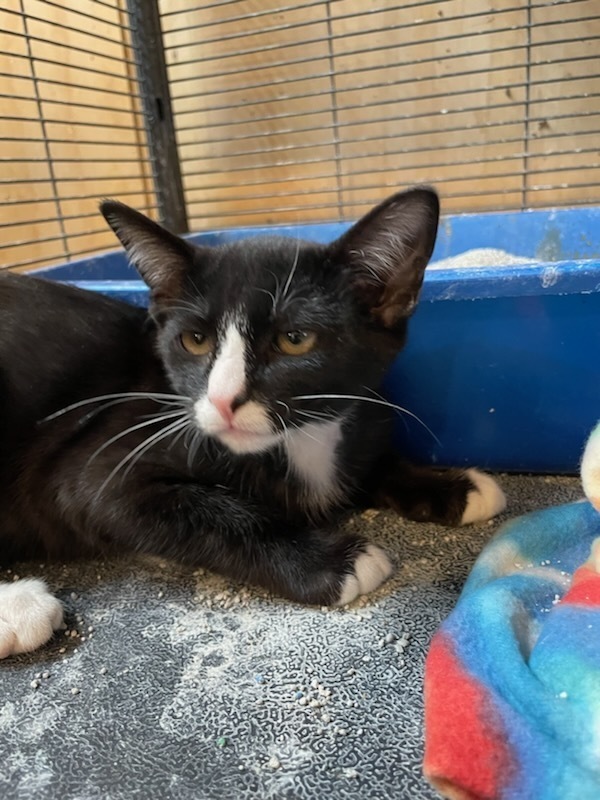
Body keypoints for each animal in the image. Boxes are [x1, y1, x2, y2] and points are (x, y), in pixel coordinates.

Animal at [0, 188, 506, 656]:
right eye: (195, 340)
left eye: (295, 339)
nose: (224, 400)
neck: (301, 439)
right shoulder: (100, 462)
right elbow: (206, 509)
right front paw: (334, 560)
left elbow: (369, 462)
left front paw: (452, 485)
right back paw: (19, 609)